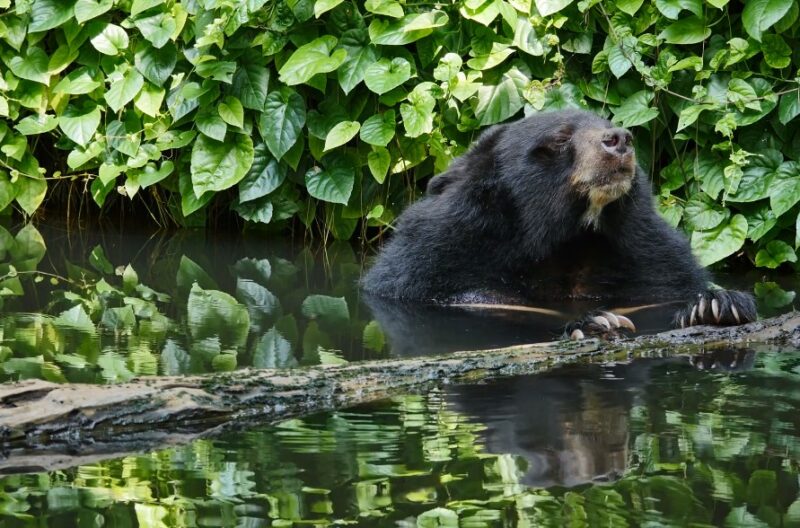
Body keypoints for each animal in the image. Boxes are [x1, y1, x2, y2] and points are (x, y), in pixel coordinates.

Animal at [362, 109, 756, 336]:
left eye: (611, 126)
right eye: (560, 138)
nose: (619, 140)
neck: (570, 238)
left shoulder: (651, 259)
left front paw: (717, 305)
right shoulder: (437, 261)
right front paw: (594, 323)